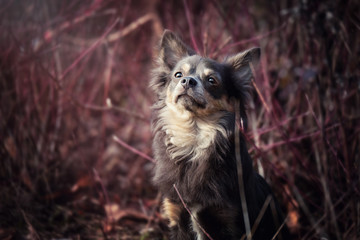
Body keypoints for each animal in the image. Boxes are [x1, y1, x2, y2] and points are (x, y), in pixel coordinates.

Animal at [150, 30, 290, 240]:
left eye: (211, 80)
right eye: (178, 75)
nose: (187, 81)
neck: (194, 140)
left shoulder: (225, 219)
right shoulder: (177, 213)